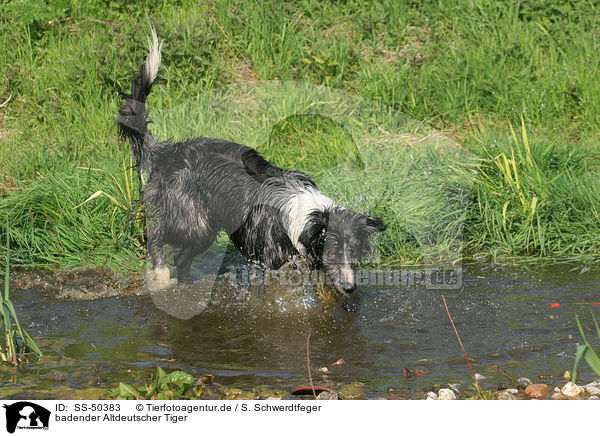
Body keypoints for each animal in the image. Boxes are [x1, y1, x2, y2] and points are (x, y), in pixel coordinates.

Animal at [119, 28, 386, 296]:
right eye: (330, 253)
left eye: (353, 252)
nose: (350, 287)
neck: (308, 214)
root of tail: (168, 151)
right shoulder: (273, 257)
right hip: (191, 219)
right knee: (156, 239)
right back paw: (162, 276)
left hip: (203, 228)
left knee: (181, 258)